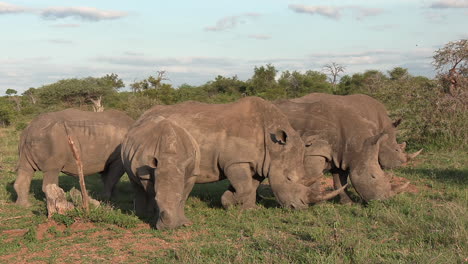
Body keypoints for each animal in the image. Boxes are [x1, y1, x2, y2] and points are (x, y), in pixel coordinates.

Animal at [122, 96, 346, 229]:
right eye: (289, 178)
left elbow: (251, 186)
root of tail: (141, 117)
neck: (274, 146)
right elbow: (245, 186)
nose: (299, 208)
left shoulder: (259, 163)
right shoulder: (236, 162)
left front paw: (247, 208)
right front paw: (229, 202)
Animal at [274, 100, 410, 203]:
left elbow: (341, 181)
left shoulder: (342, 154)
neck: (356, 143)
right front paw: (319, 203)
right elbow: (314, 176)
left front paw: (348, 203)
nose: (386, 199)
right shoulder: (314, 150)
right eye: (373, 176)